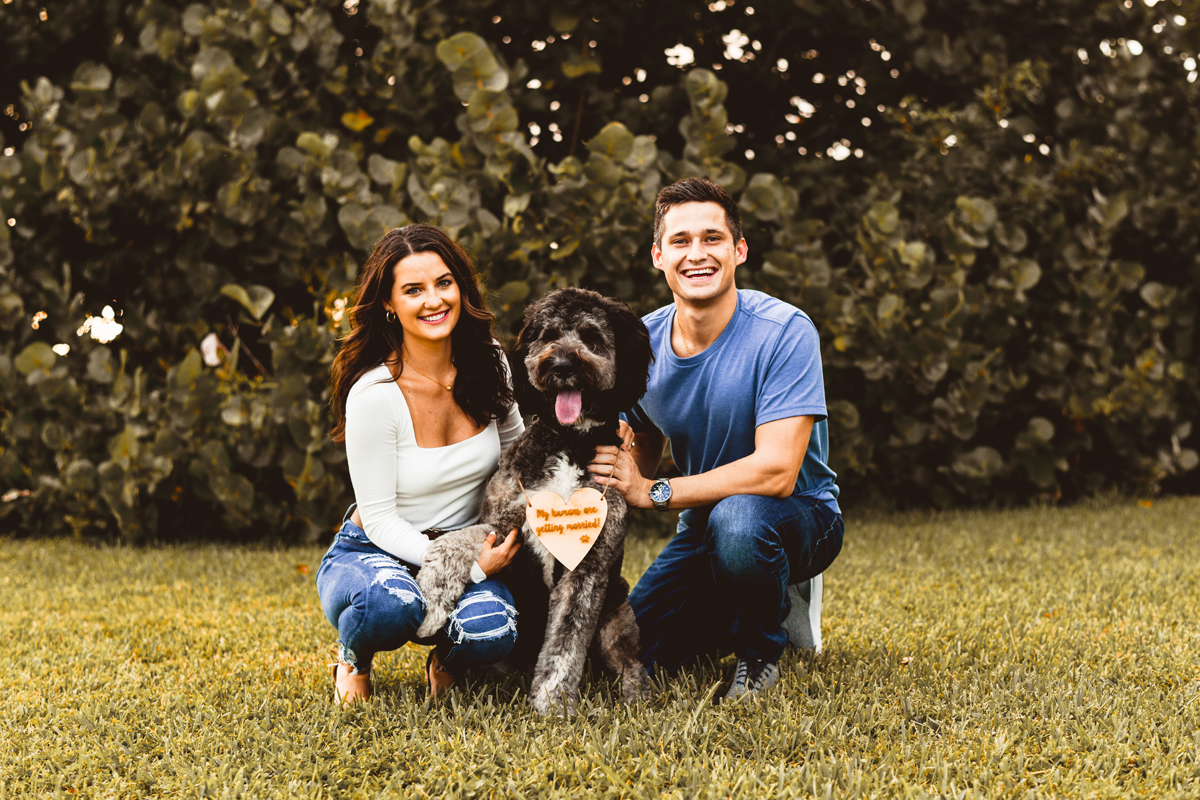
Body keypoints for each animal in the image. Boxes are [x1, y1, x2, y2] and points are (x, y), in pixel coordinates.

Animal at [415, 287, 657, 714]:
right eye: (547, 335)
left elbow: (565, 642)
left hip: (616, 614)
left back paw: (635, 697)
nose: (561, 365)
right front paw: (431, 600)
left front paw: (553, 703)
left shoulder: (588, 565)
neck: (570, 441)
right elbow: (453, 542)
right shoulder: (506, 520)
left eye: (591, 336)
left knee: (629, 663)